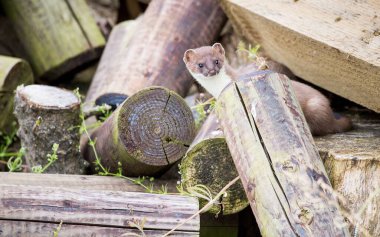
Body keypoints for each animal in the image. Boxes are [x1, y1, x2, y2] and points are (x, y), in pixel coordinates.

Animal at [183, 42, 352, 135]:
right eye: (200, 64)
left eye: (217, 61)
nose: (212, 70)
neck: (218, 88)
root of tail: (330, 112)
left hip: (315, 107)